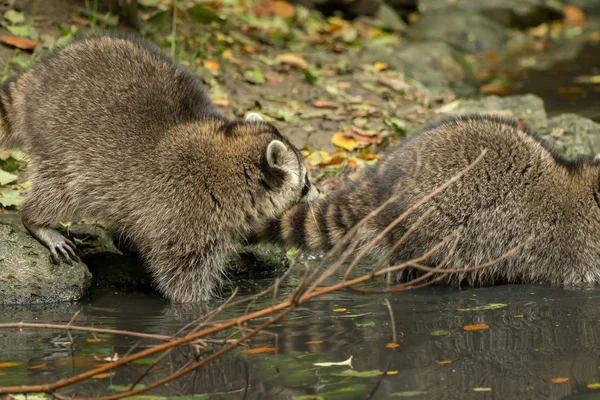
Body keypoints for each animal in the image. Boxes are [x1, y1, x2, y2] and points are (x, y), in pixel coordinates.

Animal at [0, 33, 318, 304]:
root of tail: (38, 74)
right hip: (62, 139)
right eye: (306, 180)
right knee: (62, 187)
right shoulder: (188, 213)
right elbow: (182, 275)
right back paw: (36, 219)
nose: (318, 193)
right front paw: (195, 308)